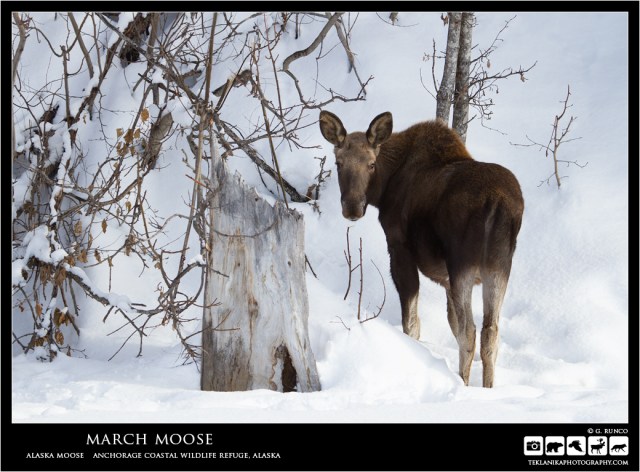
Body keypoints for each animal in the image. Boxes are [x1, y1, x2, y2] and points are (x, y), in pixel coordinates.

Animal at [319, 110, 524, 388]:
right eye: (338, 163)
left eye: (371, 164)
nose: (352, 207)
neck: (383, 190)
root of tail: (498, 203)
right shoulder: (447, 279)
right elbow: (451, 322)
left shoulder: (399, 247)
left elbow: (412, 322)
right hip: (499, 267)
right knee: (490, 332)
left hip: (463, 264)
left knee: (470, 331)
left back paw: (462, 383)